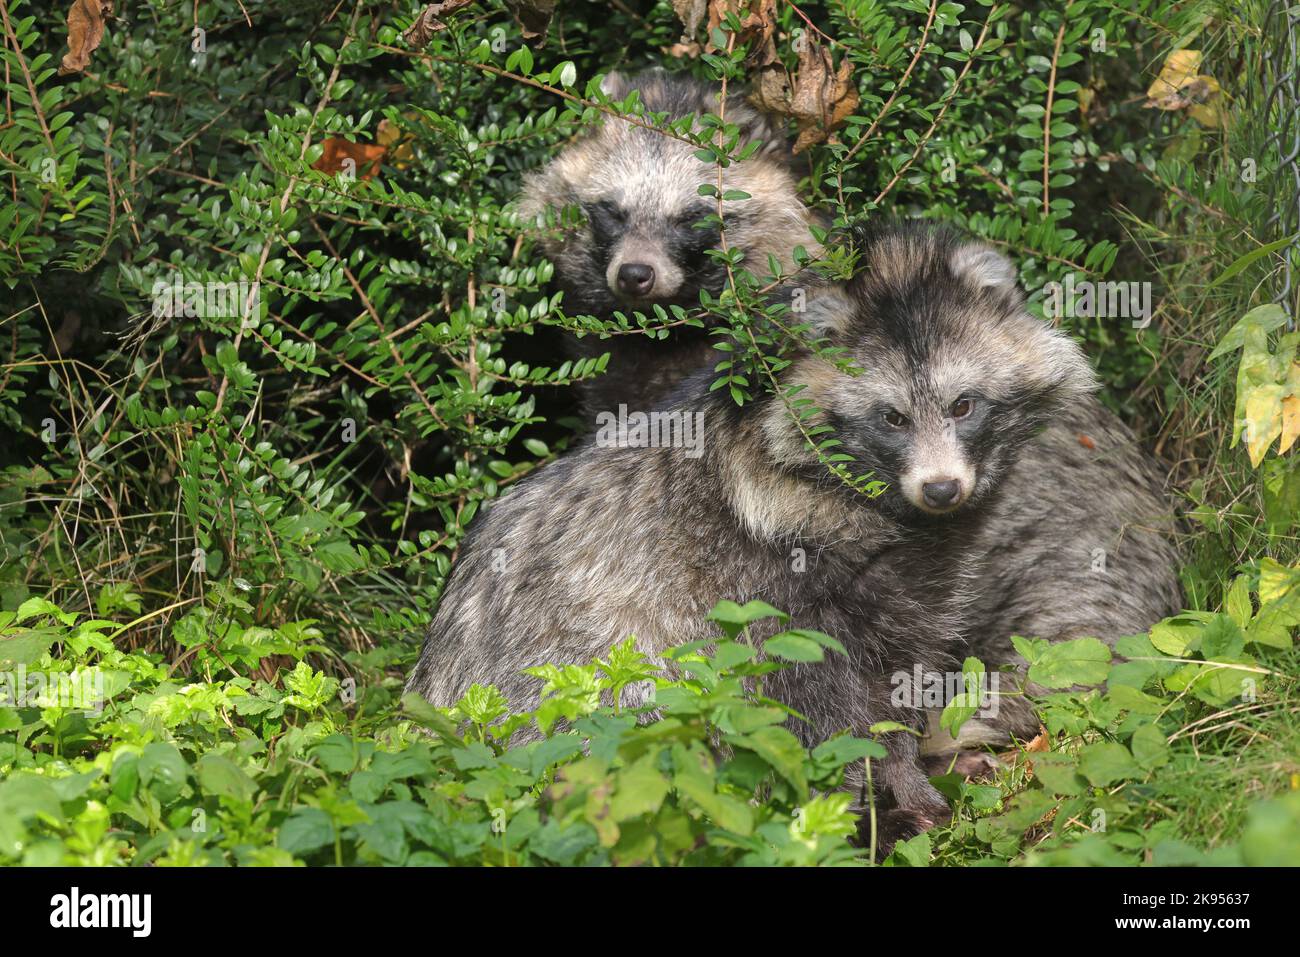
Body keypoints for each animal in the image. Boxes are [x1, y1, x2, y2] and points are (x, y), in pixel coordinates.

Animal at [406, 224, 1096, 850]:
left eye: (962, 405)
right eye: (892, 418)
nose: (943, 489)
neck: (883, 507)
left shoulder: (913, 582)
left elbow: (897, 680)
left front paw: (911, 778)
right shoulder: (766, 577)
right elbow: (818, 705)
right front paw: (874, 800)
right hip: (575, 689)